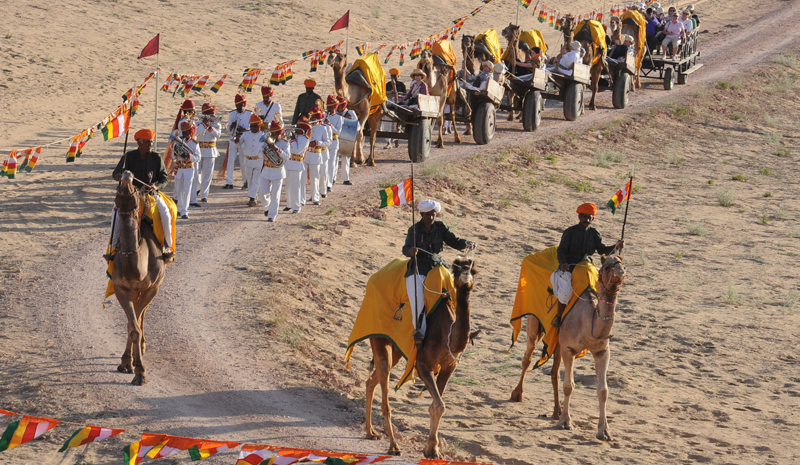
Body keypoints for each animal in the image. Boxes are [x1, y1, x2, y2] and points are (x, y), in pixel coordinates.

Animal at [111, 170, 166, 384]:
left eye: (135, 187)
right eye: (118, 185)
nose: (127, 173)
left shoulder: (152, 288)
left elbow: (137, 322)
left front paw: (140, 371)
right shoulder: (121, 288)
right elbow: (131, 326)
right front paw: (128, 363)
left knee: (143, 313)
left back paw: (141, 348)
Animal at [344, 258, 476, 456]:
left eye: (473, 270)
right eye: (457, 268)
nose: (466, 278)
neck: (448, 333)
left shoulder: (448, 367)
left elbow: (437, 404)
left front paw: (431, 448)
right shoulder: (423, 364)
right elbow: (438, 405)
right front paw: (432, 449)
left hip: (397, 350)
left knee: (371, 381)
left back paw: (370, 432)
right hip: (379, 337)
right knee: (383, 385)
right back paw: (393, 446)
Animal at [510, 245, 628, 440]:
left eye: (623, 264)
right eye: (607, 267)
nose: (621, 272)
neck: (589, 321)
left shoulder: (602, 352)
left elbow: (603, 390)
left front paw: (604, 431)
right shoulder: (569, 348)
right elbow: (569, 386)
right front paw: (565, 422)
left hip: (557, 341)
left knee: (554, 372)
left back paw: (556, 411)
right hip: (535, 326)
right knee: (527, 358)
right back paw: (517, 394)